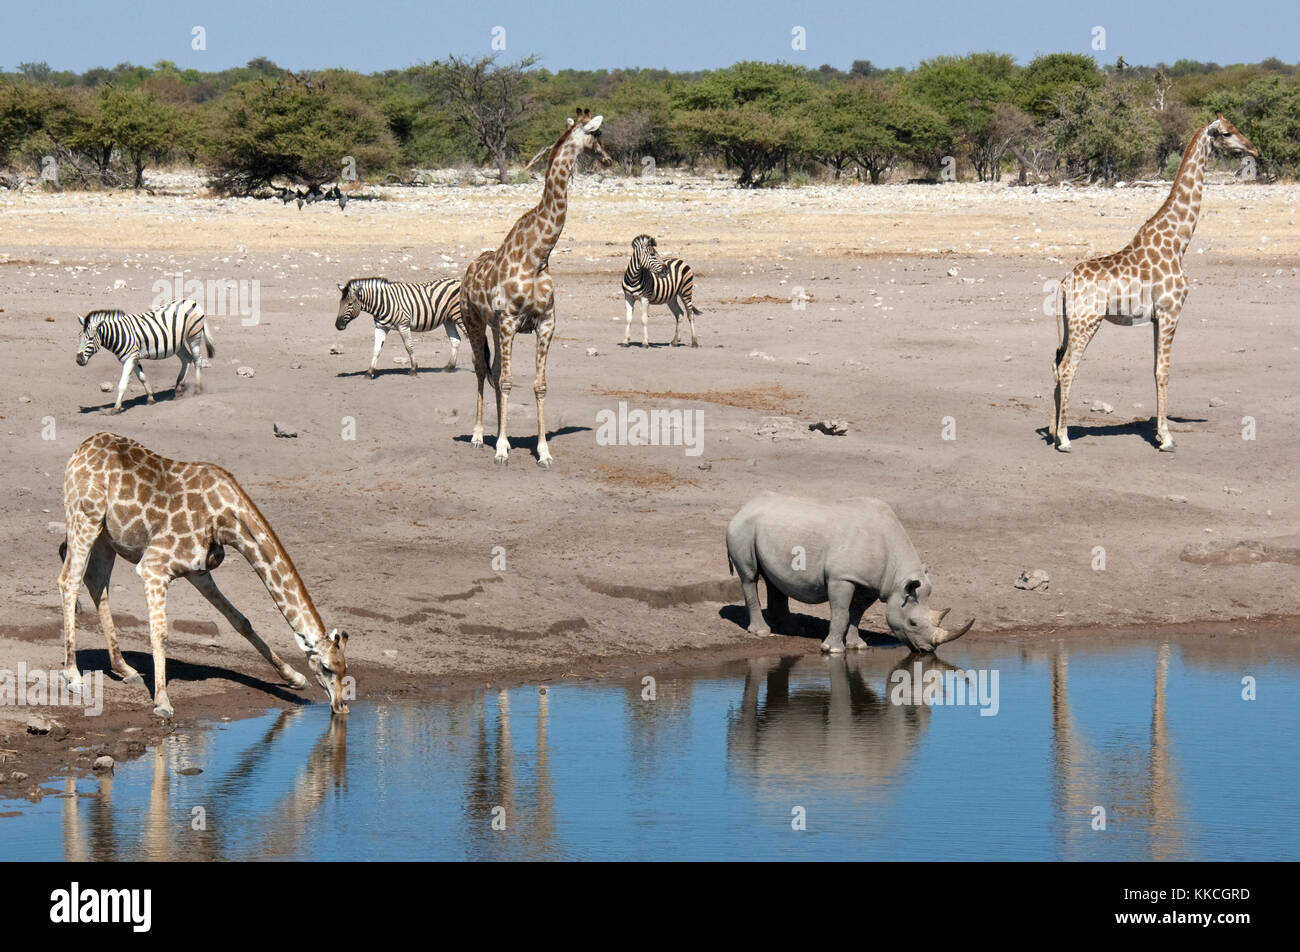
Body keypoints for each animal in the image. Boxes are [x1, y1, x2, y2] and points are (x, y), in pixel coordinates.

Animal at [59, 429, 351, 712]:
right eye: (326, 667)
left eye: (344, 667)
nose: (341, 706)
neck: (226, 520)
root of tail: (80, 450)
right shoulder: (154, 566)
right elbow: (160, 633)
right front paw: (162, 701)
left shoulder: (197, 572)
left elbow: (240, 620)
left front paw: (294, 678)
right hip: (84, 519)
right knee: (69, 581)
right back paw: (73, 674)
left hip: (106, 536)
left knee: (96, 582)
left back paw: (124, 669)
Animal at [75, 297, 214, 413]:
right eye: (79, 337)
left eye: (91, 338)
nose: (78, 360)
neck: (119, 334)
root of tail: (192, 301)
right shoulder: (133, 358)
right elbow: (142, 377)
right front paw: (151, 398)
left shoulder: (130, 358)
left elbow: (123, 383)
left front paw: (117, 407)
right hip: (178, 343)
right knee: (187, 359)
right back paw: (179, 389)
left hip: (194, 337)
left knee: (197, 360)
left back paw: (197, 390)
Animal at [332, 275, 465, 374]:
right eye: (340, 303)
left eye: (350, 303)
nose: (338, 326)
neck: (383, 302)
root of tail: (459, 280)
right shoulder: (381, 327)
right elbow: (376, 349)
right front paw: (370, 372)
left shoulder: (403, 325)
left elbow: (409, 346)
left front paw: (413, 369)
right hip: (448, 319)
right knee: (456, 340)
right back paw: (449, 367)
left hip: (459, 316)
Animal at [462, 109, 613, 465]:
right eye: (597, 134)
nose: (609, 159)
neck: (537, 255)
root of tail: (467, 270)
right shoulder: (508, 321)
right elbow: (507, 382)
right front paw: (501, 450)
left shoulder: (545, 322)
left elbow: (538, 385)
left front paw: (542, 451)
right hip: (474, 322)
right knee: (481, 369)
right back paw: (478, 436)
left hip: (494, 328)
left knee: (494, 370)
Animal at [1055, 113, 1258, 452]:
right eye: (1228, 133)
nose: (1253, 148)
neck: (1179, 241)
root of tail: (1063, 283)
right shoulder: (1171, 311)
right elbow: (1163, 371)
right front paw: (1166, 438)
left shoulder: (1154, 318)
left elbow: (1153, 369)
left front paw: (1161, 433)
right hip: (1086, 321)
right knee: (1068, 366)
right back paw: (1064, 438)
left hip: (1070, 324)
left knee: (1056, 363)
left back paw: (1051, 429)